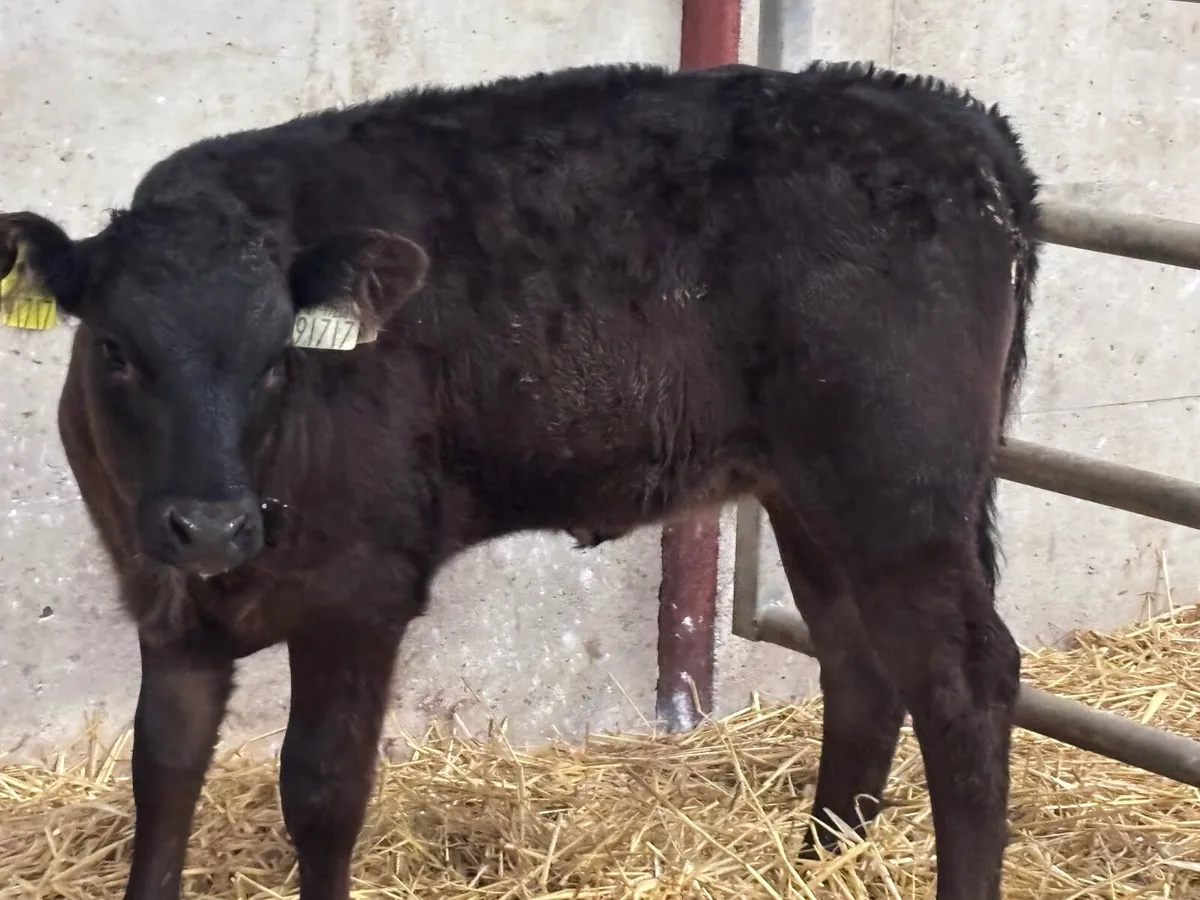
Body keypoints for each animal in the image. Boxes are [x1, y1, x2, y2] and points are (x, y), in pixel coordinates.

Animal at [0, 60, 1040, 900]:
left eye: (273, 361)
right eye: (114, 349)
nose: (212, 526)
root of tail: (946, 114)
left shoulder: (360, 596)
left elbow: (322, 792)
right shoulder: (166, 605)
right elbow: (163, 774)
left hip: (900, 492)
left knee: (966, 678)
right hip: (811, 495)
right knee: (861, 671)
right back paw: (822, 860)